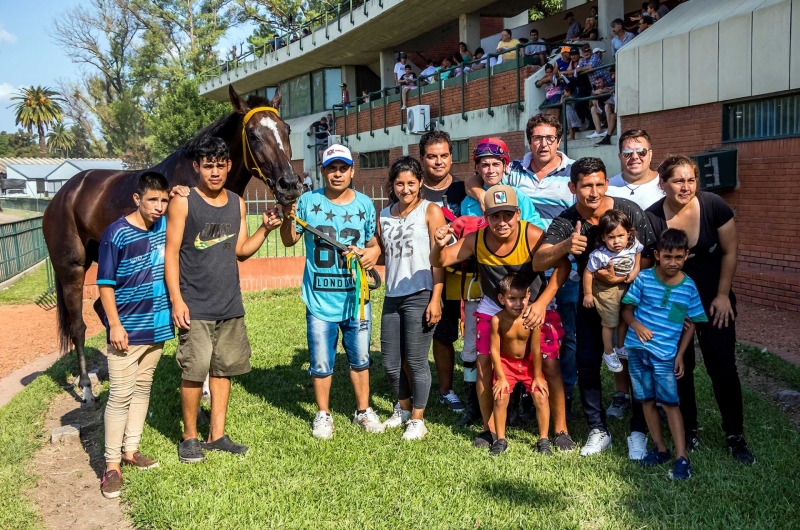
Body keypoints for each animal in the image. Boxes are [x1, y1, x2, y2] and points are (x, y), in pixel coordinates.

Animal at [43, 85, 304, 400]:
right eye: (253, 134)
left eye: (285, 129)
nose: (290, 185)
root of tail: (62, 195)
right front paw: (203, 390)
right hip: (72, 269)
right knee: (78, 326)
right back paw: (86, 388)